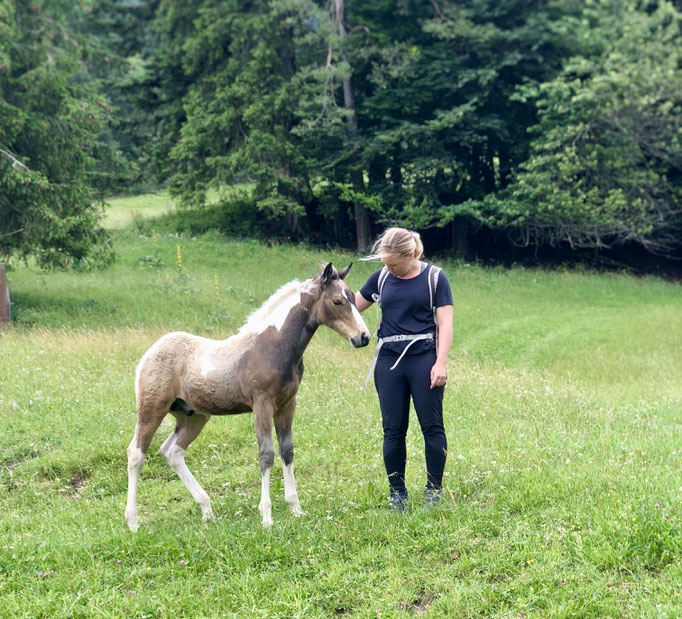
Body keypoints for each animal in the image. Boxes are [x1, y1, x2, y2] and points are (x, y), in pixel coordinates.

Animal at [126, 264, 372, 532]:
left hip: (193, 416)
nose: (363, 337)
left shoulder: (287, 405)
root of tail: (148, 354)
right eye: (337, 301)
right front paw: (266, 516)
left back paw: (207, 510)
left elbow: (287, 451)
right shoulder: (262, 405)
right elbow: (266, 455)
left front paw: (296, 508)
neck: (273, 346)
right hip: (151, 410)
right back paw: (133, 521)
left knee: (172, 451)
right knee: (136, 454)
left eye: (353, 297)